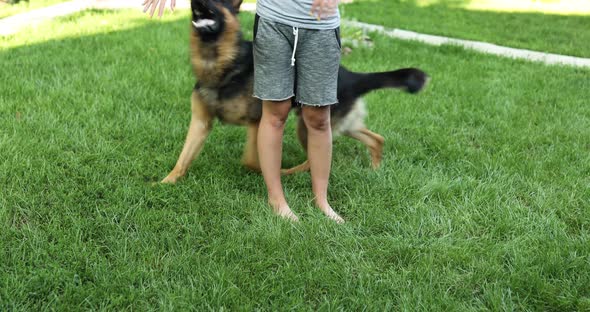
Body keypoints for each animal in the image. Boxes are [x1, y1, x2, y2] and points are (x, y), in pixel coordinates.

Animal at [162, 0, 430, 184]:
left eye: (217, 0)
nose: (195, 2)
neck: (221, 61)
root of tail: (351, 76)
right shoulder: (200, 123)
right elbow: (183, 159)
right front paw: (165, 183)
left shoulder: (257, 121)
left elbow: (249, 159)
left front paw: (265, 172)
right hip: (342, 124)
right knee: (376, 139)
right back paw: (375, 169)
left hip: (309, 126)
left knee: (315, 160)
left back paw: (290, 173)